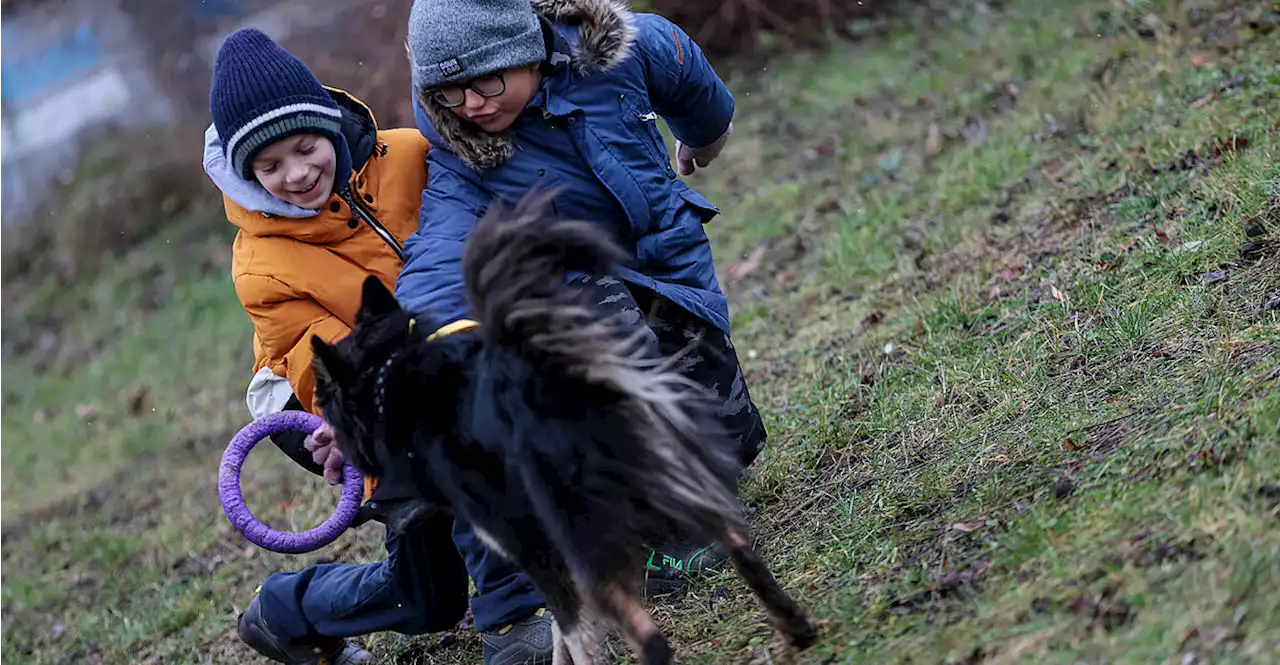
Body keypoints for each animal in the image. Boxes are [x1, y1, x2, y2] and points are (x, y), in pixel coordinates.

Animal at [312, 190, 819, 659]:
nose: (367, 509)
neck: (394, 376)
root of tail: (564, 376)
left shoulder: (534, 548)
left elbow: (572, 630)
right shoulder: (552, 548)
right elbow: (566, 630)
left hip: (592, 534)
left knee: (651, 638)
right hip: (682, 486)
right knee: (744, 553)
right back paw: (797, 629)